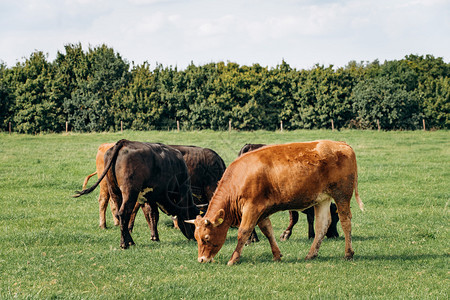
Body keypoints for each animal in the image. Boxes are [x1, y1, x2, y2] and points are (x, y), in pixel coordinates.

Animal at [188, 141, 364, 264]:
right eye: (196, 237)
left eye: (206, 238)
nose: (201, 259)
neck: (240, 177)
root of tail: (342, 145)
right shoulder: (261, 209)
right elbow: (268, 231)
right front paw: (277, 255)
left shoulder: (252, 207)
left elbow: (243, 232)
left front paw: (233, 259)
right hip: (322, 199)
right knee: (322, 225)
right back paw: (311, 254)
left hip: (341, 195)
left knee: (345, 221)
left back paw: (348, 253)